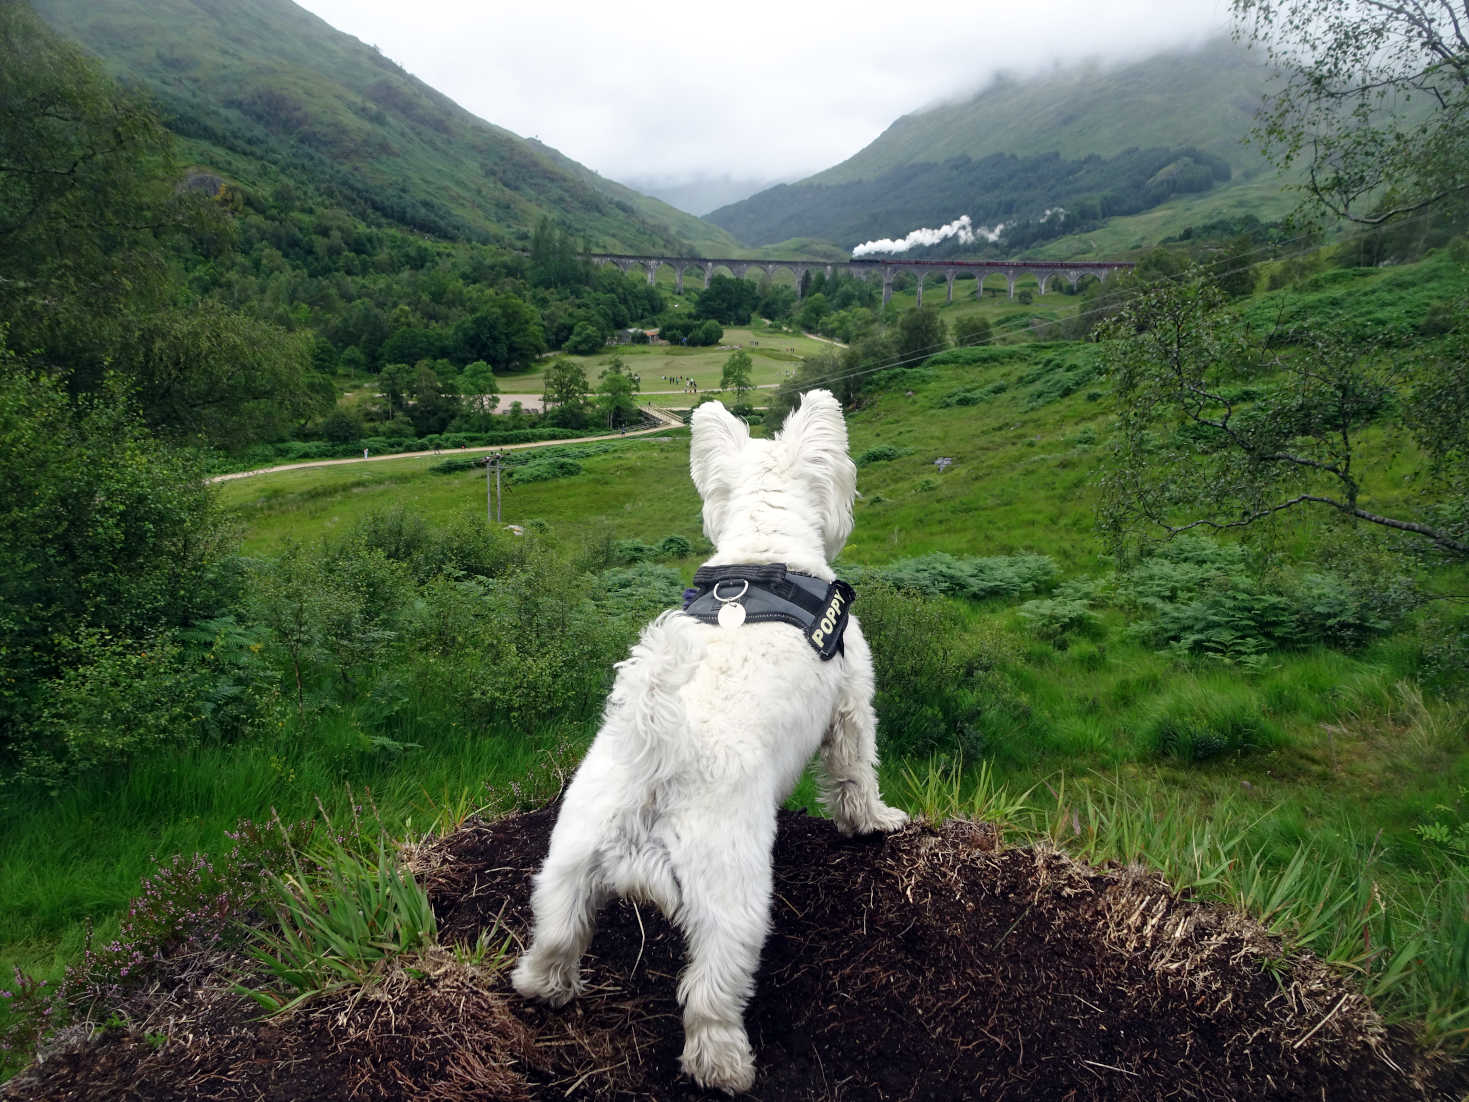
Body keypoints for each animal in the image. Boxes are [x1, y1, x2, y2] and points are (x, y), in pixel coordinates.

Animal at [514, 387, 904, 1099]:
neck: (765, 547)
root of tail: (656, 756)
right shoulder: (852, 703)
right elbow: (855, 774)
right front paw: (876, 822)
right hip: (732, 899)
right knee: (708, 993)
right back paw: (725, 1065)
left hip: (566, 867)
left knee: (555, 941)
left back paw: (544, 988)